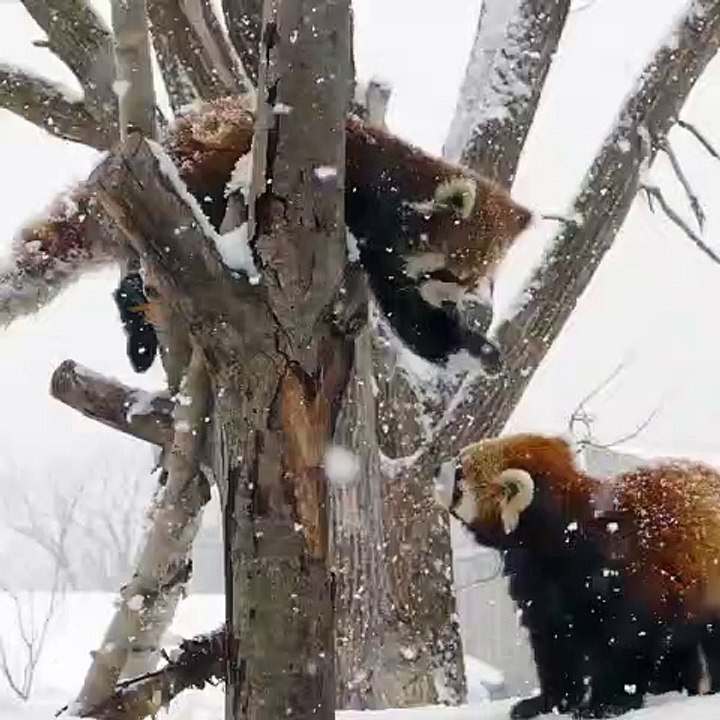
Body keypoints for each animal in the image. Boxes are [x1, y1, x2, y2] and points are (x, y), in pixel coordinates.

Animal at [115, 98, 532, 376]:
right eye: (449, 273)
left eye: (474, 281)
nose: (452, 303)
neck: (401, 187)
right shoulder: (375, 227)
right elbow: (409, 317)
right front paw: (473, 350)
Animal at [433, 433, 720, 718]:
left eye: (459, 472)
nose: (436, 469)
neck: (562, 538)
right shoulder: (536, 584)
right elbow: (553, 643)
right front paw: (546, 703)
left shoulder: (628, 576)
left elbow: (628, 643)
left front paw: (606, 704)